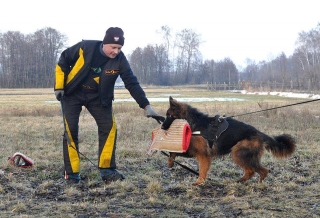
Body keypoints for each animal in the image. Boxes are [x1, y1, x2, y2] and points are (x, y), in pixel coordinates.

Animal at [164, 97, 296, 186]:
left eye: (169, 116)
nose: (162, 127)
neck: (193, 123)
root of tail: (260, 134)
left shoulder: (204, 155)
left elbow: (202, 170)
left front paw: (199, 182)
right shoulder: (194, 151)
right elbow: (174, 153)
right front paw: (170, 161)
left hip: (238, 153)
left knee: (260, 171)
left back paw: (255, 183)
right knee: (253, 171)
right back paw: (241, 181)